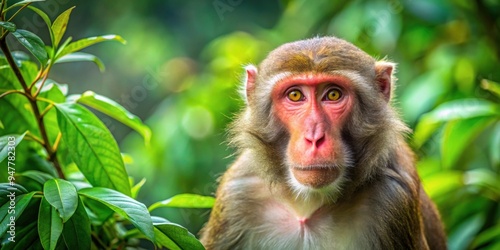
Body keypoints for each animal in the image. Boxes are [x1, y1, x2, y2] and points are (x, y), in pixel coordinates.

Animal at [201, 36, 448, 249]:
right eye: (295, 96)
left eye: (333, 95)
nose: (314, 137)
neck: (306, 206)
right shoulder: (236, 193)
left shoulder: (392, 197)